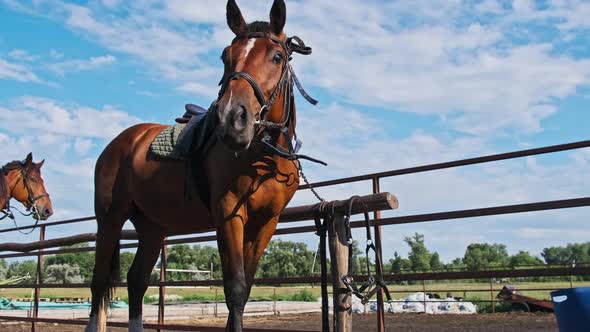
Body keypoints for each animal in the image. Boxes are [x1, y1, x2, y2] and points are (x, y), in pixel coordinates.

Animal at [85, 1, 316, 330]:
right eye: (226, 56)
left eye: (277, 57)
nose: (232, 119)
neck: (263, 157)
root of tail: (121, 142)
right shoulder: (229, 215)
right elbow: (234, 288)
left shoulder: (265, 223)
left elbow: (245, 289)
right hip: (109, 220)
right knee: (99, 283)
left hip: (152, 227)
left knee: (136, 280)